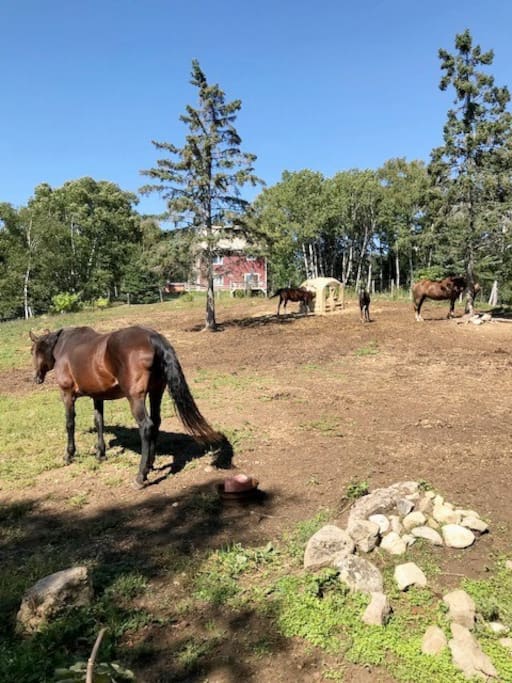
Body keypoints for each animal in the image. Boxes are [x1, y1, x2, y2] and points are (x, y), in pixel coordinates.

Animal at [30, 326, 223, 488]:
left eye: (34, 351)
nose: (36, 378)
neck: (65, 347)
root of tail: (153, 338)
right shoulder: (98, 396)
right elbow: (99, 421)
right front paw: (101, 453)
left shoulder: (67, 394)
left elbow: (70, 424)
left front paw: (69, 455)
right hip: (156, 391)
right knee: (156, 422)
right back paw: (150, 464)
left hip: (135, 397)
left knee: (146, 426)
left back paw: (140, 476)